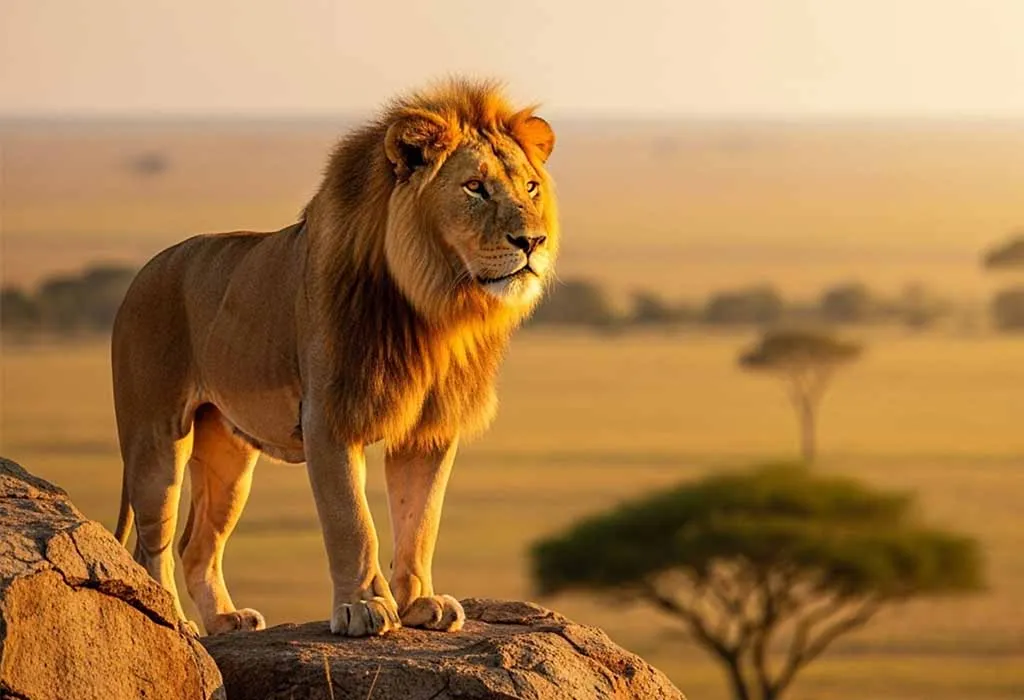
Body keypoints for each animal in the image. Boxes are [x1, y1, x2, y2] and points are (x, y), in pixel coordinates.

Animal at [110, 79, 558, 637]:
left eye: (531, 187)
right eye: (474, 187)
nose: (533, 240)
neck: (433, 307)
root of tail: (140, 275)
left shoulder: (430, 429)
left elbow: (420, 520)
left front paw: (419, 603)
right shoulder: (330, 414)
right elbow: (352, 521)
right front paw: (363, 607)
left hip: (227, 453)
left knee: (198, 544)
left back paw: (226, 620)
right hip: (156, 439)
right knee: (154, 543)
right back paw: (171, 621)